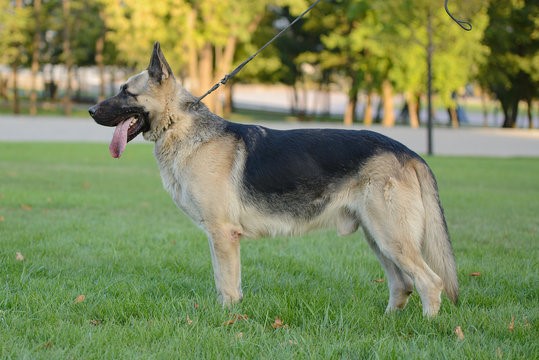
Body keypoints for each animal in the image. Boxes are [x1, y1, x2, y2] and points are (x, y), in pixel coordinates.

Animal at [89, 42, 460, 316]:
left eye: (126, 92)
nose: (91, 111)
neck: (181, 127)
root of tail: (408, 152)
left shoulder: (223, 234)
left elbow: (226, 284)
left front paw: (226, 320)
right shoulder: (220, 236)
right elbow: (227, 283)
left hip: (391, 238)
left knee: (430, 282)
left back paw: (428, 326)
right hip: (378, 238)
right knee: (403, 285)